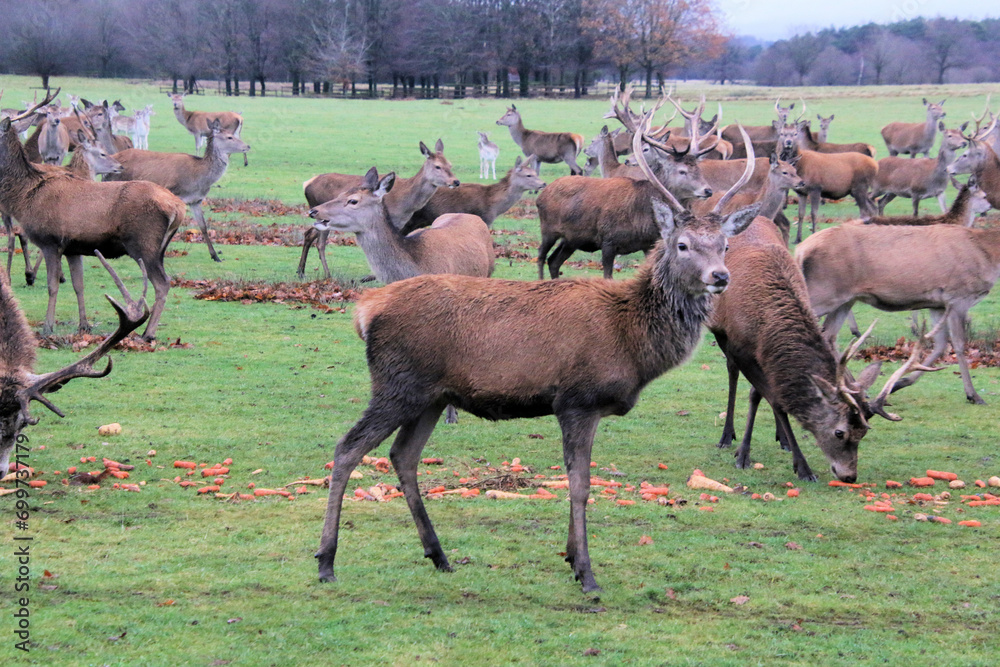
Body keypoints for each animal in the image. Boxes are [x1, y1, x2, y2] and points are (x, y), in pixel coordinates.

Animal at [0, 90, 185, 342]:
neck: (24, 195)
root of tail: (178, 207)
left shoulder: (50, 241)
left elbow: (52, 286)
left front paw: (47, 328)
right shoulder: (73, 248)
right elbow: (79, 285)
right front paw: (84, 325)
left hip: (144, 244)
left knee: (163, 283)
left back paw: (148, 333)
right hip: (160, 248)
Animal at [105, 119, 250, 263]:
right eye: (229, 137)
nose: (248, 146)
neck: (199, 178)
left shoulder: (196, 200)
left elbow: (203, 226)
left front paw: (215, 256)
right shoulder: (175, 195)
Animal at [298, 140, 459, 280]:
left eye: (450, 165)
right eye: (438, 166)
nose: (456, 181)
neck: (406, 204)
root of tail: (307, 183)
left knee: (310, 234)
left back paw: (301, 271)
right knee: (318, 241)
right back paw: (325, 274)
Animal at [709, 212, 926, 481]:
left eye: (864, 432)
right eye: (839, 432)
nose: (849, 476)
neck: (765, 319)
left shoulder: (766, 354)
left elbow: (763, 394)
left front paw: (783, 443)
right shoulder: (741, 348)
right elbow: (772, 399)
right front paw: (755, 457)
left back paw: (781, 439)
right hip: (719, 330)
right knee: (732, 372)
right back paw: (726, 436)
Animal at [795, 209, 1000, 404]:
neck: (987, 253)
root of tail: (800, 250)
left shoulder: (938, 304)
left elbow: (940, 344)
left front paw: (897, 384)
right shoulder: (959, 297)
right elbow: (958, 344)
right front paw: (973, 395)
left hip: (845, 300)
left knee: (829, 335)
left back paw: (853, 388)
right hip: (823, 291)